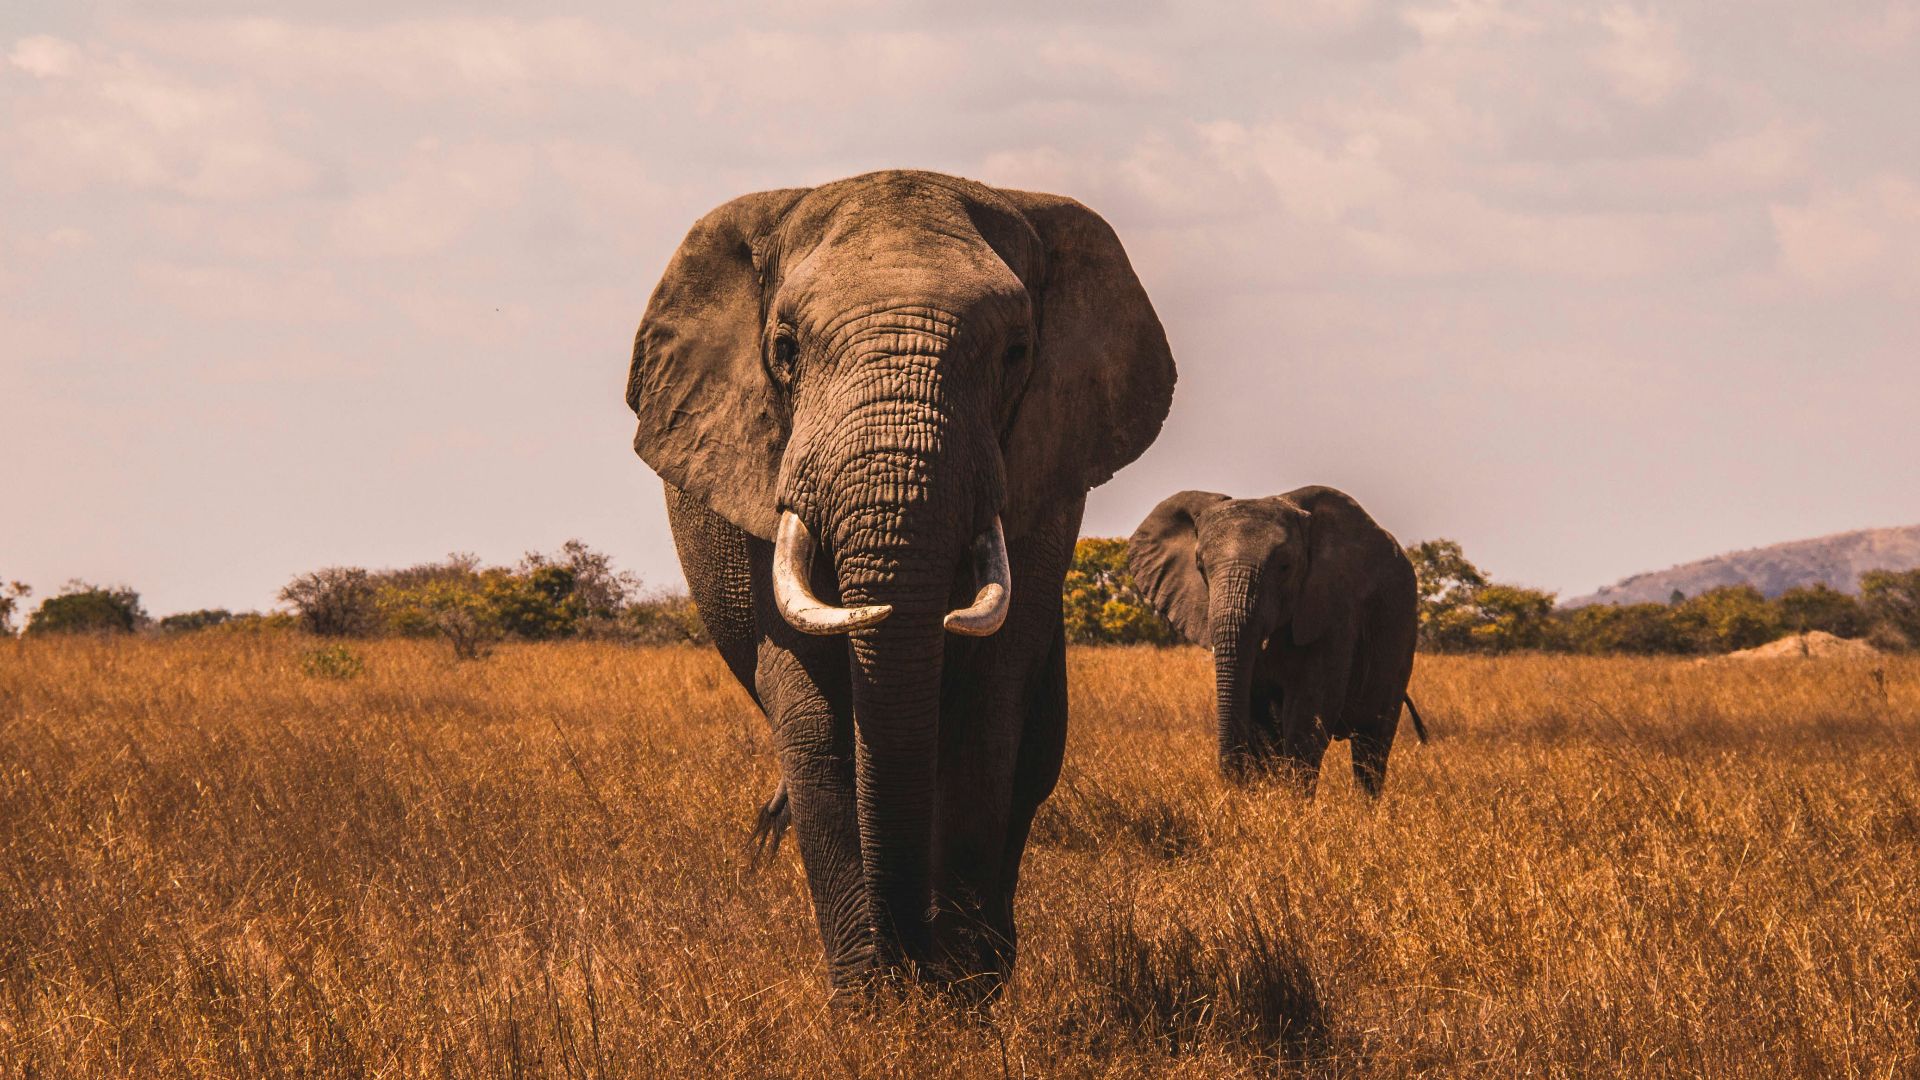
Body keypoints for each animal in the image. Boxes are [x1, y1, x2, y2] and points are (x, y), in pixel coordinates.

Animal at [626, 170, 1175, 994]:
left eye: (1017, 352)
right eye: (784, 349)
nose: (909, 959)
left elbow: (987, 712)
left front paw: (959, 994)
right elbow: (817, 721)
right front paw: (873, 1001)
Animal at [1127, 487, 1425, 793]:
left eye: (1285, 566)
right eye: (1200, 566)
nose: (1231, 780)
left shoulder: (1336, 610)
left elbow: (1309, 714)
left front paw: (1293, 802)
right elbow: (1260, 716)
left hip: (1401, 634)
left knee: (1372, 744)